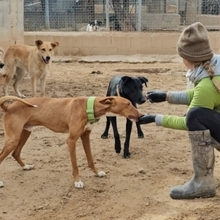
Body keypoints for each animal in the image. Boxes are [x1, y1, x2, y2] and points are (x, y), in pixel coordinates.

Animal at [0, 95, 141, 188]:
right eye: (128, 104)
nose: (141, 115)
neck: (87, 107)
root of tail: (8, 107)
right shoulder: (71, 140)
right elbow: (75, 164)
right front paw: (77, 181)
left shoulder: (85, 136)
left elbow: (90, 159)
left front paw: (97, 173)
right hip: (13, 139)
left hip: (25, 133)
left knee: (15, 153)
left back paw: (25, 166)